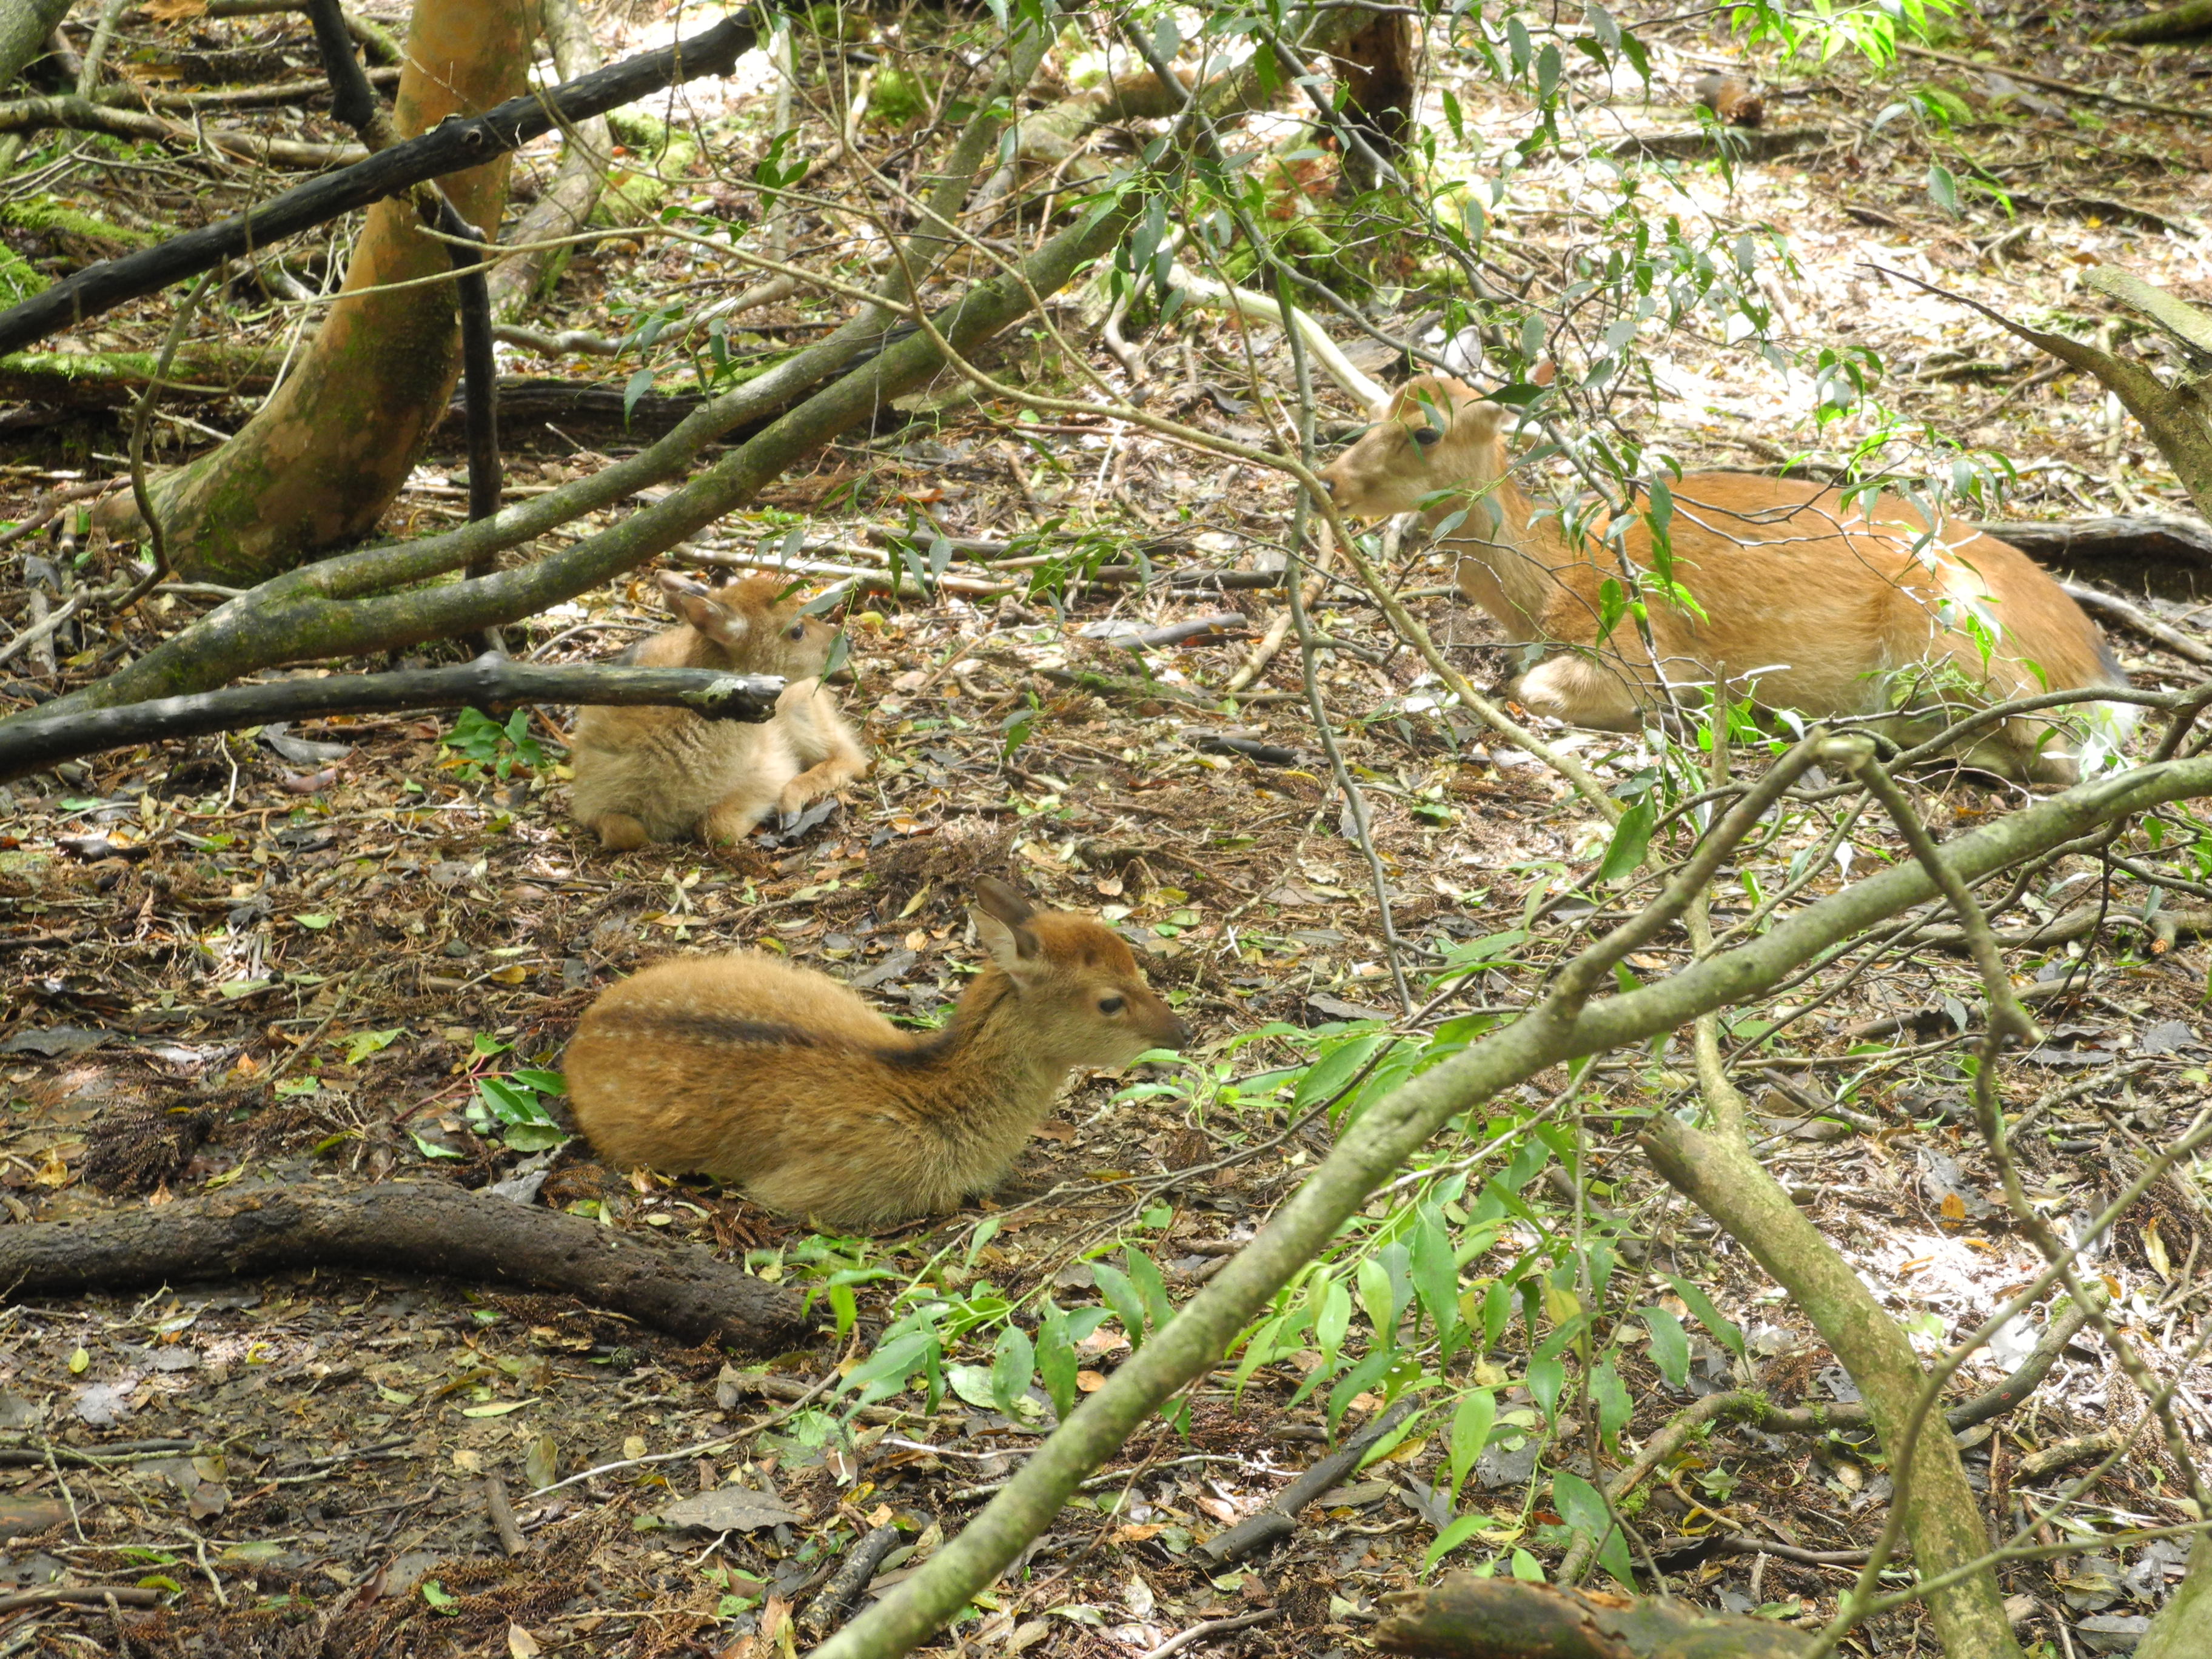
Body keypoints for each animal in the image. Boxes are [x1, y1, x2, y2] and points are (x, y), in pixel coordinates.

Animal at [566, 575, 867, 858]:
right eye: (797, 630)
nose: (847, 640)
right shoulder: (588, 799)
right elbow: (625, 831)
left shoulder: (772, 768)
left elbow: (714, 826)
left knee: (851, 756)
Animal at [1318, 376, 2132, 787]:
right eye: (1373, 412)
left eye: (1425, 430)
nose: (1331, 480)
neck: (1552, 583)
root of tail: (2103, 679)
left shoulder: (1647, 652)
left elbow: (1530, 687)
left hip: (1951, 626)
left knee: (2048, 754)